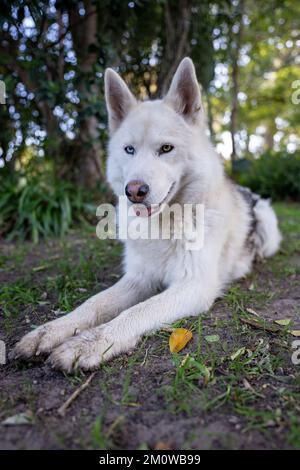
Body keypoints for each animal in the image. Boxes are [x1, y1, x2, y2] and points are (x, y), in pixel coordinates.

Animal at [12, 57, 282, 370]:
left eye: (166, 148)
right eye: (129, 149)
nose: (134, 191)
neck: (164, 227)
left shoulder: (193, 286)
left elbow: (135, 312)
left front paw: (90, 343)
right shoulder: (138, 278)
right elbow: (92, 304)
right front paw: (50, 330)